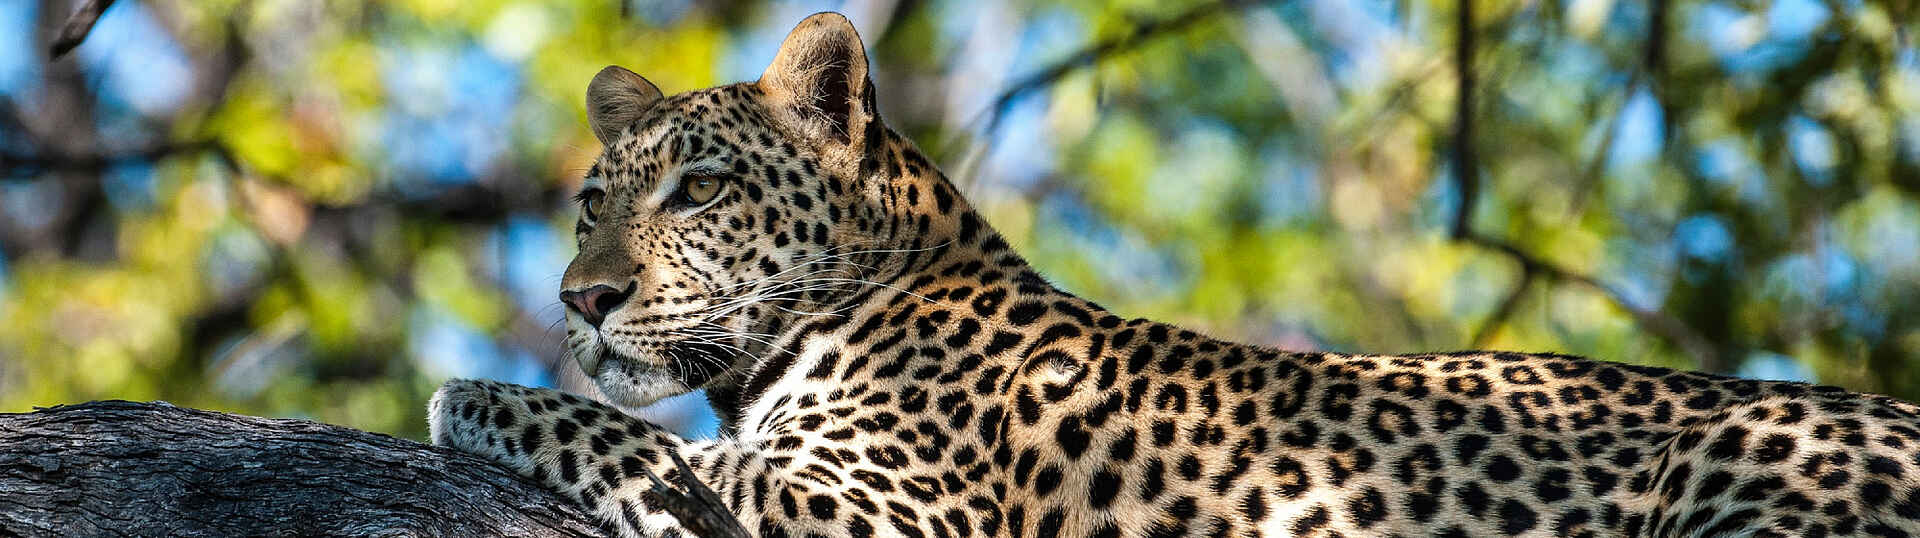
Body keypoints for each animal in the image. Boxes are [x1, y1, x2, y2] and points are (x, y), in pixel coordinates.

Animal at [429, 12, 1920, 538]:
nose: (580, 301)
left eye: (700, 190)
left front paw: (473, 396)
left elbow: (647, 450)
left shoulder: (896, 513)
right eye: (589, 207)